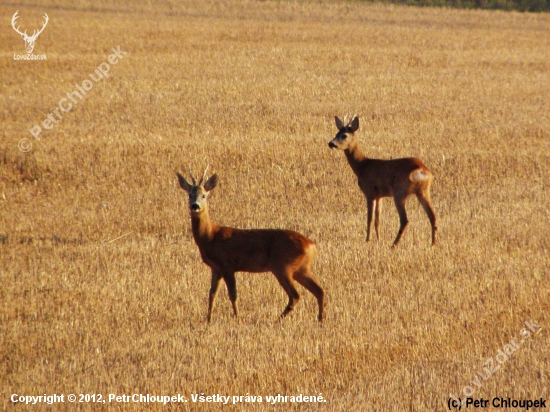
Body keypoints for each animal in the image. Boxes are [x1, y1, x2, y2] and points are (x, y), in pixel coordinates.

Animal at [177, 166, 326, 324]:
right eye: (190, 195)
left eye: (204, 195)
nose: (195, 206)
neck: (210, 235)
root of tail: (312, 246)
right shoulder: (215, 268)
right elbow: (212, 294)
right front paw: (208, 319)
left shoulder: (227, 265)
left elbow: (233, 294)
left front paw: (237, 318)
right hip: (301, 269)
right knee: (319, 291)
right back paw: (320, 319)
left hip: (282, 266)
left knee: (296, 295)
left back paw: (277, 320)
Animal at [330, 114, 438, 246]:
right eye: (336, 133)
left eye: (344, 135)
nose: (331, 143)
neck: (362, 166)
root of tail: (421, 170)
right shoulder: (379, 196)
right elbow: (378, 219)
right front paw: (378, 239)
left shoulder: (369, 192)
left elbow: (370, 219)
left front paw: (368, 240)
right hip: (423, 191)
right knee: (432, 216)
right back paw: (433, 244)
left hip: (399, 191)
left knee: (405, 220)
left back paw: (394, 244)